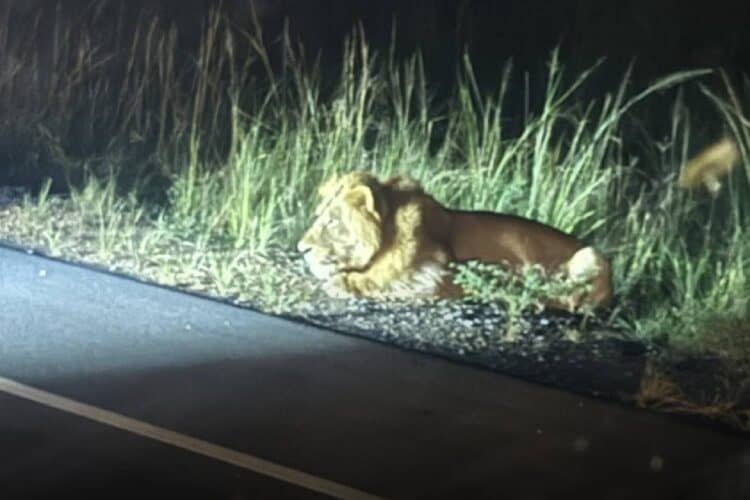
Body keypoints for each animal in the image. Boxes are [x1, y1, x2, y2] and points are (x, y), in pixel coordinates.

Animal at [297, 171, 613, 311]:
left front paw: (343, 282)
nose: (301, 249)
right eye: (319, 216)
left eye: (333, 221)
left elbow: (381, 278)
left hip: (590, 256)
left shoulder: (435, 274)